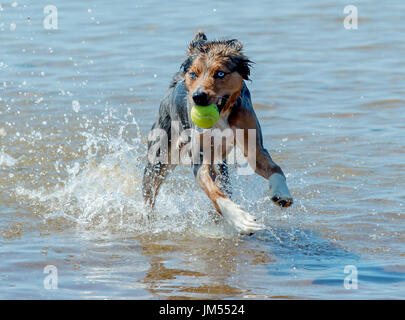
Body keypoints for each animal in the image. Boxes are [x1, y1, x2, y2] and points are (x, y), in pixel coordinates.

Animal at [141, 31, 290, 234]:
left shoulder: (254, 147)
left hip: (220, 164)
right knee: (149, 194)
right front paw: (240, 219)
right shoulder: (200, 160)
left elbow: (275, 168)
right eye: (193, 74)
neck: (221, 118)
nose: (198, 96)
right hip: (159, 158)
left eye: (220, 73)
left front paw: (281, 193)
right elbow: (215, 192)